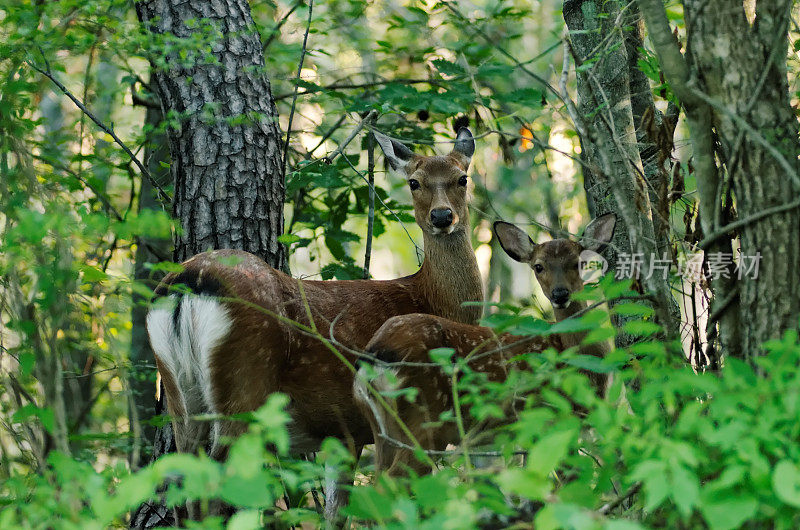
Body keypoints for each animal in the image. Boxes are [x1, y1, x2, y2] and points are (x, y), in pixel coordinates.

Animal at [354, 213, 616, 474]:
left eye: (579, 262)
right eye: (538, 266)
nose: (560, 294)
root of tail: (377, 352)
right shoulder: (551, 417)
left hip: (381, 426)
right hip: (425, 415)